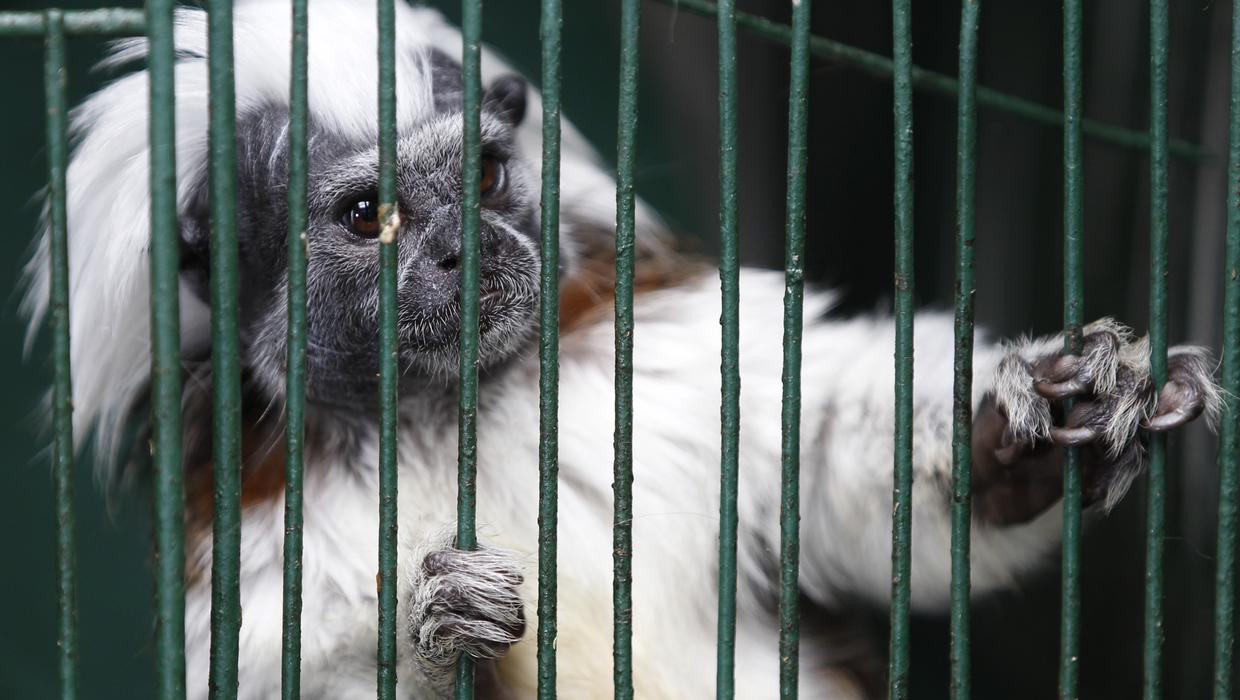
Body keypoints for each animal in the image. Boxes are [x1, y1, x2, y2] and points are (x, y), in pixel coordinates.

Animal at [21, 1, 1220, 698]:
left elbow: (838, 468)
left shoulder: (671, 359)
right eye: (370, 217)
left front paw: (1030, 437)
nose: (464, 246)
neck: (453, 413)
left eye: (486, 176)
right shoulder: (260, 550)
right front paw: (439, 640)